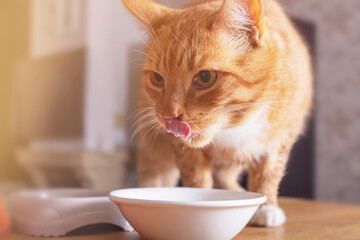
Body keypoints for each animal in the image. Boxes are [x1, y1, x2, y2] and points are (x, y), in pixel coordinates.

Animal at [122, 0, 310, 227]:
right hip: (155, 148)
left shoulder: (279, 140)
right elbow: (196, 178)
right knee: (155, 173)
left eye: (205, 77)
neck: (236, 127)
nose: (168, 116)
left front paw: (266, 206)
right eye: (157, 78)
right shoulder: (183, 149)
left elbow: (268, 173)